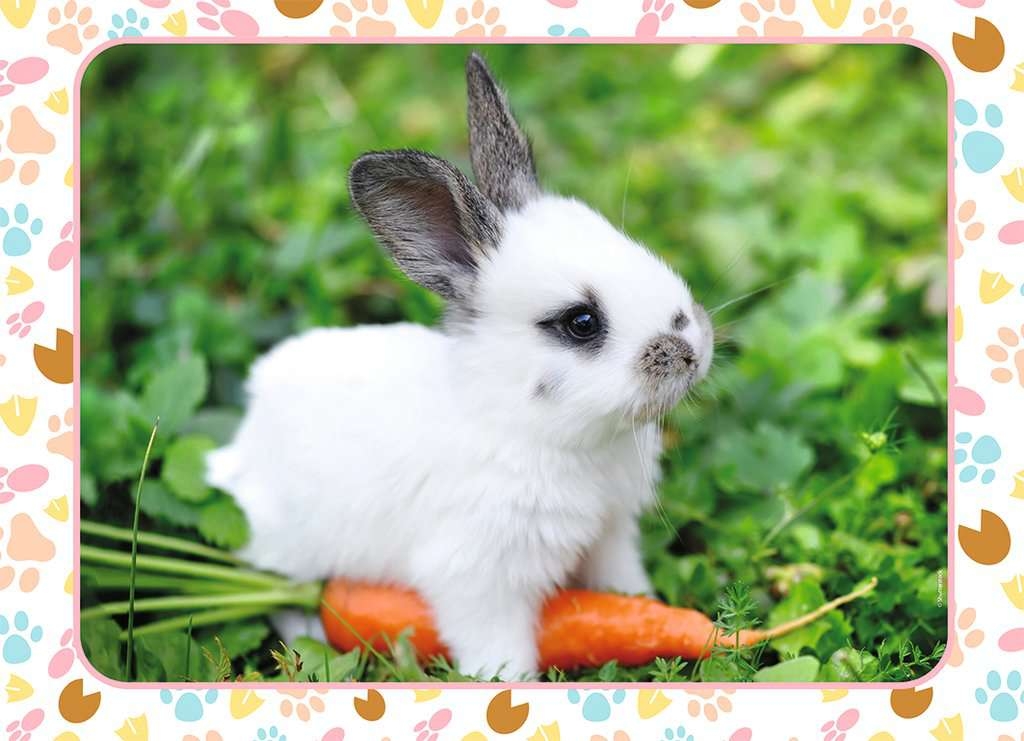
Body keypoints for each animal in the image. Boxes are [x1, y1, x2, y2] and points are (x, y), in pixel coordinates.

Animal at [205, 52, 714, 680]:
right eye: (581, 322)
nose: (693, 348)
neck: (534, 428)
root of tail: (243, 446)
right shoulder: (479, 577)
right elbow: (499, 648)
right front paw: (511, 683)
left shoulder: (609, 535)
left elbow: (621, 587)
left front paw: (645, 608)